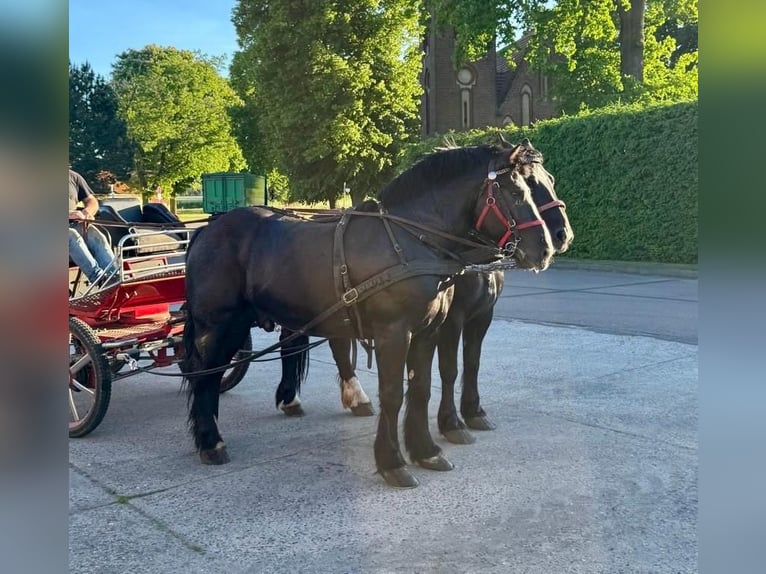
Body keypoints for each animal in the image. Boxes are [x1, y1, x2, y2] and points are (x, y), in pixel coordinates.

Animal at [181, 143, 554, 488]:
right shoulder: (394, 332)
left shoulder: (428, 331)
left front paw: (426, 451)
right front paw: (392, 463)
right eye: (517, 192)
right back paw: (211, 441)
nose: (547, 247)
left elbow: (421, 387)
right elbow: (392, 394)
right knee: (205, 374)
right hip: (220, 324)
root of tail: (206, 230)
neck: (411, 239)